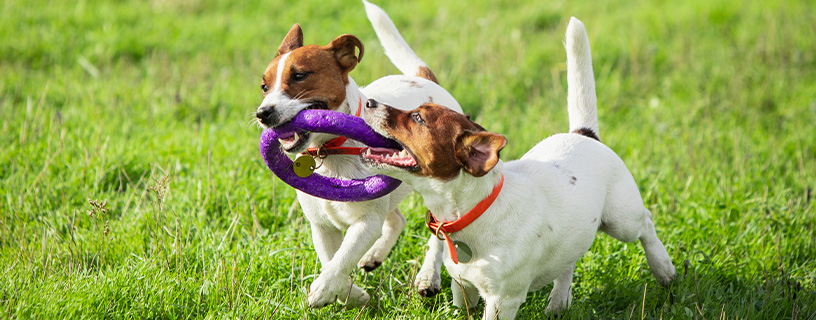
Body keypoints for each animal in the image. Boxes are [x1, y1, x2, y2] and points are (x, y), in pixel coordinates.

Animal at [252, 1, 462, 308]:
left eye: (299, 75)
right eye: (264, 87)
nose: (262, 113)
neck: (330, 151)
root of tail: (424, 80)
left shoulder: (366, 222)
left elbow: (341, 259)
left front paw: (324, 289)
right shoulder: (322, 226)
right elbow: (332, 259)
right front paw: (351, 294)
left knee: (438, 232)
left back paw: (427, 277)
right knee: (397, 220)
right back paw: (375, 256)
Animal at [362, 18, 676, 318]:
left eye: (418, 118)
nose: (368, 101)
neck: (474, 211)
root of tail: (584, 134)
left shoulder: (503, 300)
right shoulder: (463, 287)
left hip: (621, 220)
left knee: (646, 222)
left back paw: (664, 268)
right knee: (568, 262)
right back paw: (559, 302)